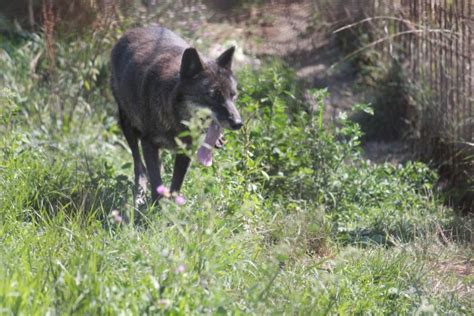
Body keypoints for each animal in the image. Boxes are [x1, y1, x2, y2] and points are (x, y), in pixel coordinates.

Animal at [109, 26, 239, 205]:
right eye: (213, 95)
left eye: (233, 95)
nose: (238, 123)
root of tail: (133, 30)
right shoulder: (148, 144)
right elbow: (156, 183)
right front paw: (155, 210)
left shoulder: (185, 152)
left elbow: (175, 186)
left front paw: (172, 208)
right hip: (127, 126)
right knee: (139, 166)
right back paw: (139, 197)